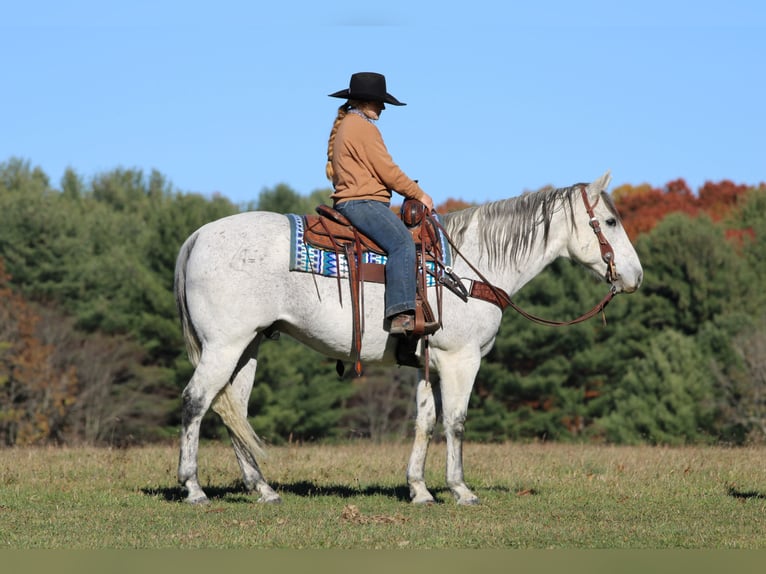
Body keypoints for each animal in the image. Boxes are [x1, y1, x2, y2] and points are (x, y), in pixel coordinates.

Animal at [174, 170, 643, 505]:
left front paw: (419, 489)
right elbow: (455, 421)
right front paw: (461, 490)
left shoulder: (427, 362)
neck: (468, 269)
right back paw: (193, 488)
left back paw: (263, 489)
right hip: (224, 346)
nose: (635, 276)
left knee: (233, 409)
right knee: (196, 401)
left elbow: (425, 421)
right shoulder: (460, 359)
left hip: (247, 347)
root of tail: (197, 236)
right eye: (610, 221)